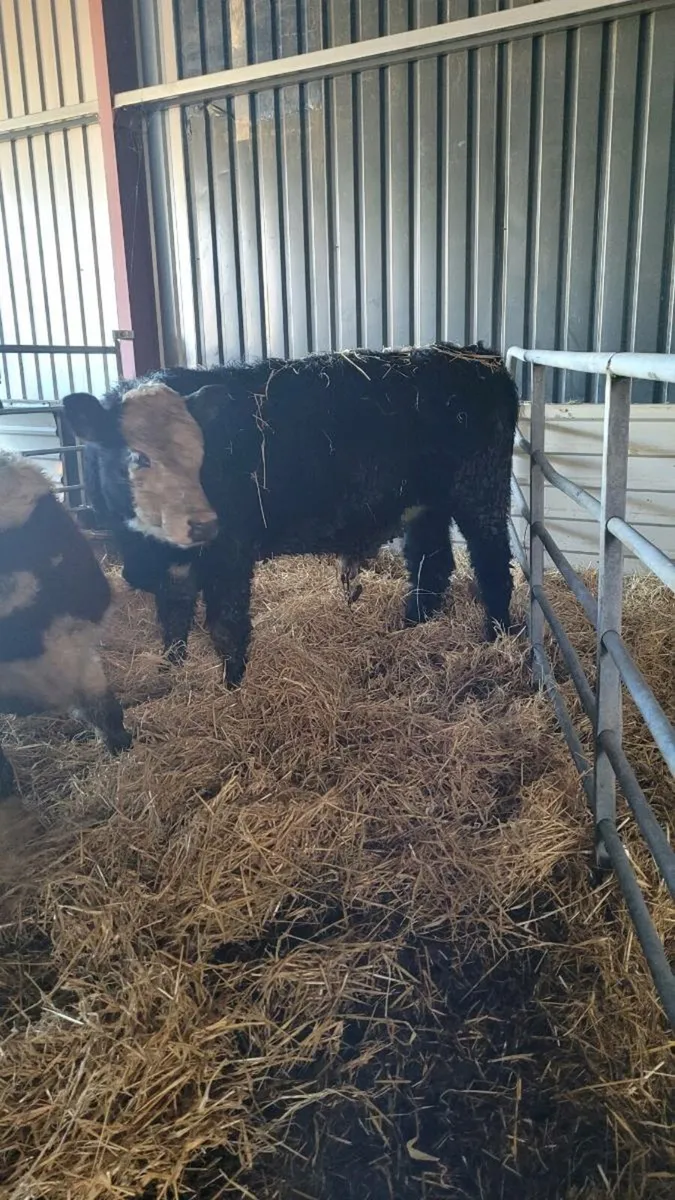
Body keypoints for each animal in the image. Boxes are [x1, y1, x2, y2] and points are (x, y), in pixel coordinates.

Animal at [62, 342, 519, 688]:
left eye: (199, 453)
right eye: (136, 456)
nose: (201, 524)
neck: (153, 547)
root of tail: (476, 355)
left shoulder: (229, 551)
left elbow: (226, 624)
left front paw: (232, 687)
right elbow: (173, 618)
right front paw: (171, 673)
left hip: (480, 492)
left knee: (492, 566)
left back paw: (496, 636)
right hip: (427, 504)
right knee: (431, 564)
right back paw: (412, 626)